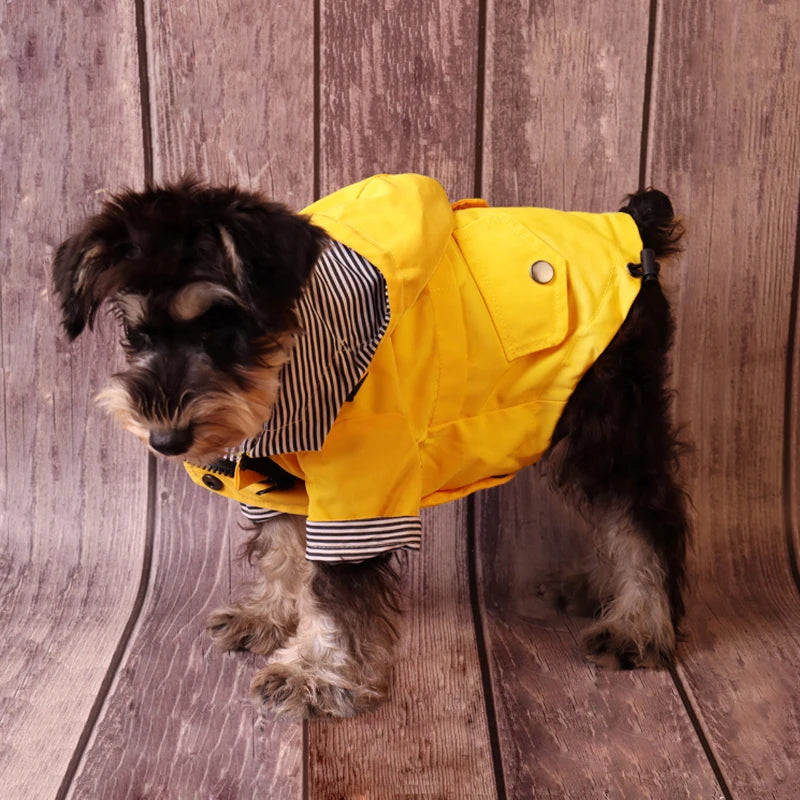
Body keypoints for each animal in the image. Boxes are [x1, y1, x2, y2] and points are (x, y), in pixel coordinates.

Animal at [51, 173, 688, 720]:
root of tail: (632, 221)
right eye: (137, 333)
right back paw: (593, 589)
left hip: (612, 418)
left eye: (220, 326)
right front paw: (268, 615)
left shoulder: (359, 499)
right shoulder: (277, 480)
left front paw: (312, 673)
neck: (290, 369)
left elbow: (336, 591)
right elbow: (282, 549)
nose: (166, 439)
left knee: (643, 513)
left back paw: (638, 623)